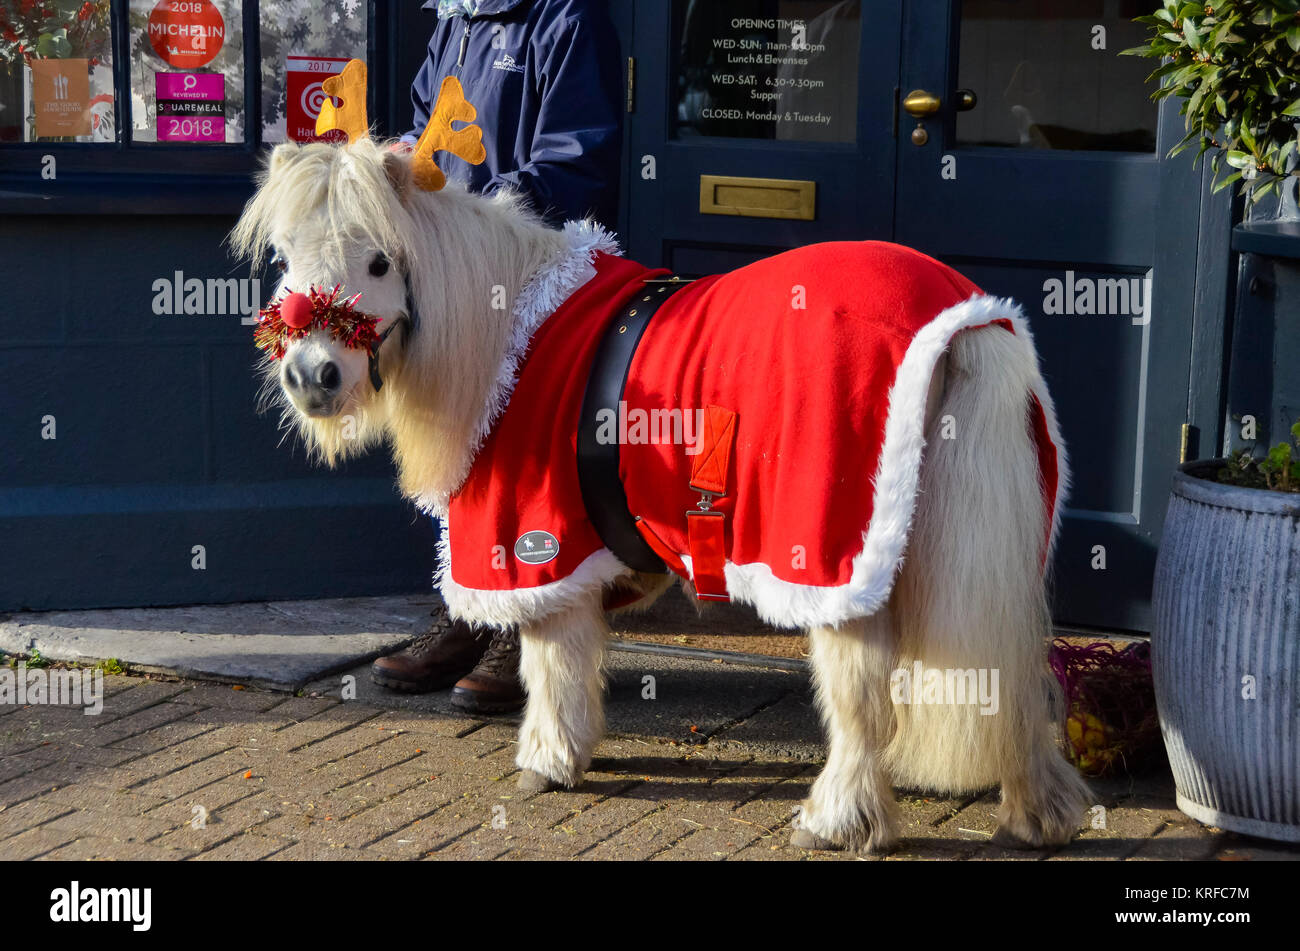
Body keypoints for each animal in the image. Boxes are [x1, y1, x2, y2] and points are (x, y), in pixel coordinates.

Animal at [231, 135, 1086, 852]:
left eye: (380, 262)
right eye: (285, 255)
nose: (311, 376)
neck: (511, 339)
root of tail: (964, 319)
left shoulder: (535, 546)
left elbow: (552, 659)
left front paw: (549, 757)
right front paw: (568, 748)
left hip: (832, 562)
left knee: (862, 698)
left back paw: (838, 819)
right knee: (1021, 679)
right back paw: (1037, 811)